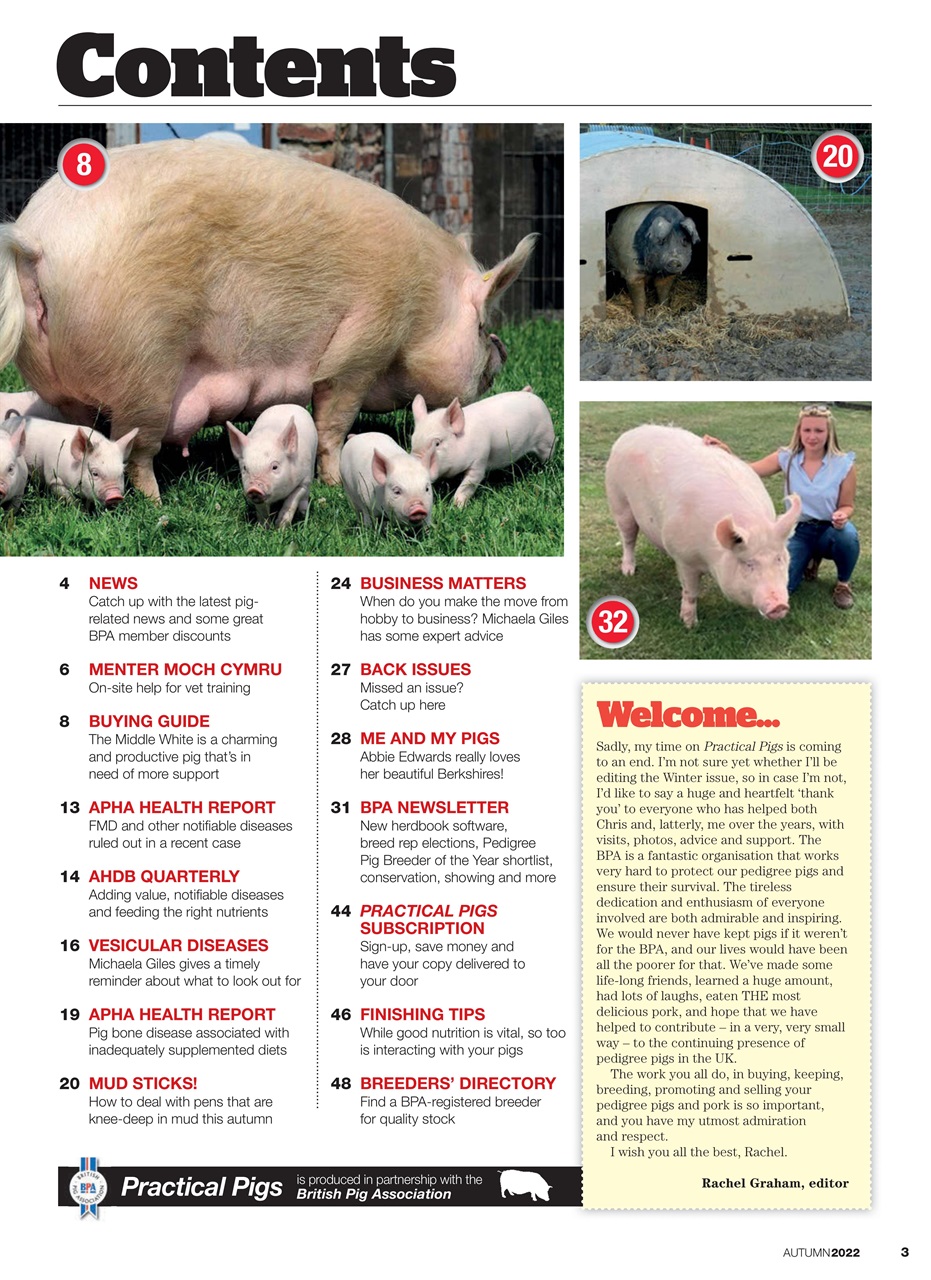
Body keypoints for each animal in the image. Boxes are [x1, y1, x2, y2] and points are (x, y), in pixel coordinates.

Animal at [0, 140, 536, 502]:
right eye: (481, 323)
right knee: (137, 451)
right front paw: (333, 484)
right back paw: (155, 502)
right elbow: (334, 417)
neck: (424, 308)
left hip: (70, 389)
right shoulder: (365, 341)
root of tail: (36, 240)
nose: (504, 348)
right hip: (144, 367)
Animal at [410, 387, 555, 507]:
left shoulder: (479, 459)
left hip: (546, 438)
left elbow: (468, 484)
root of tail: (531, 394)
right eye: (412, 440)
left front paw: (456, 506)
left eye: (437, 443)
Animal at [605, 425, 801, 628]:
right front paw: (690, 625)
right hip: (618, 499)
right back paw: (628, 572)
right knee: (628, 537)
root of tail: (630, 433)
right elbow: (690, 591)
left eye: (779, 558)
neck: (709, 559)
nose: (779, 605)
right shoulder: (685, 559)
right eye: (748, 564)